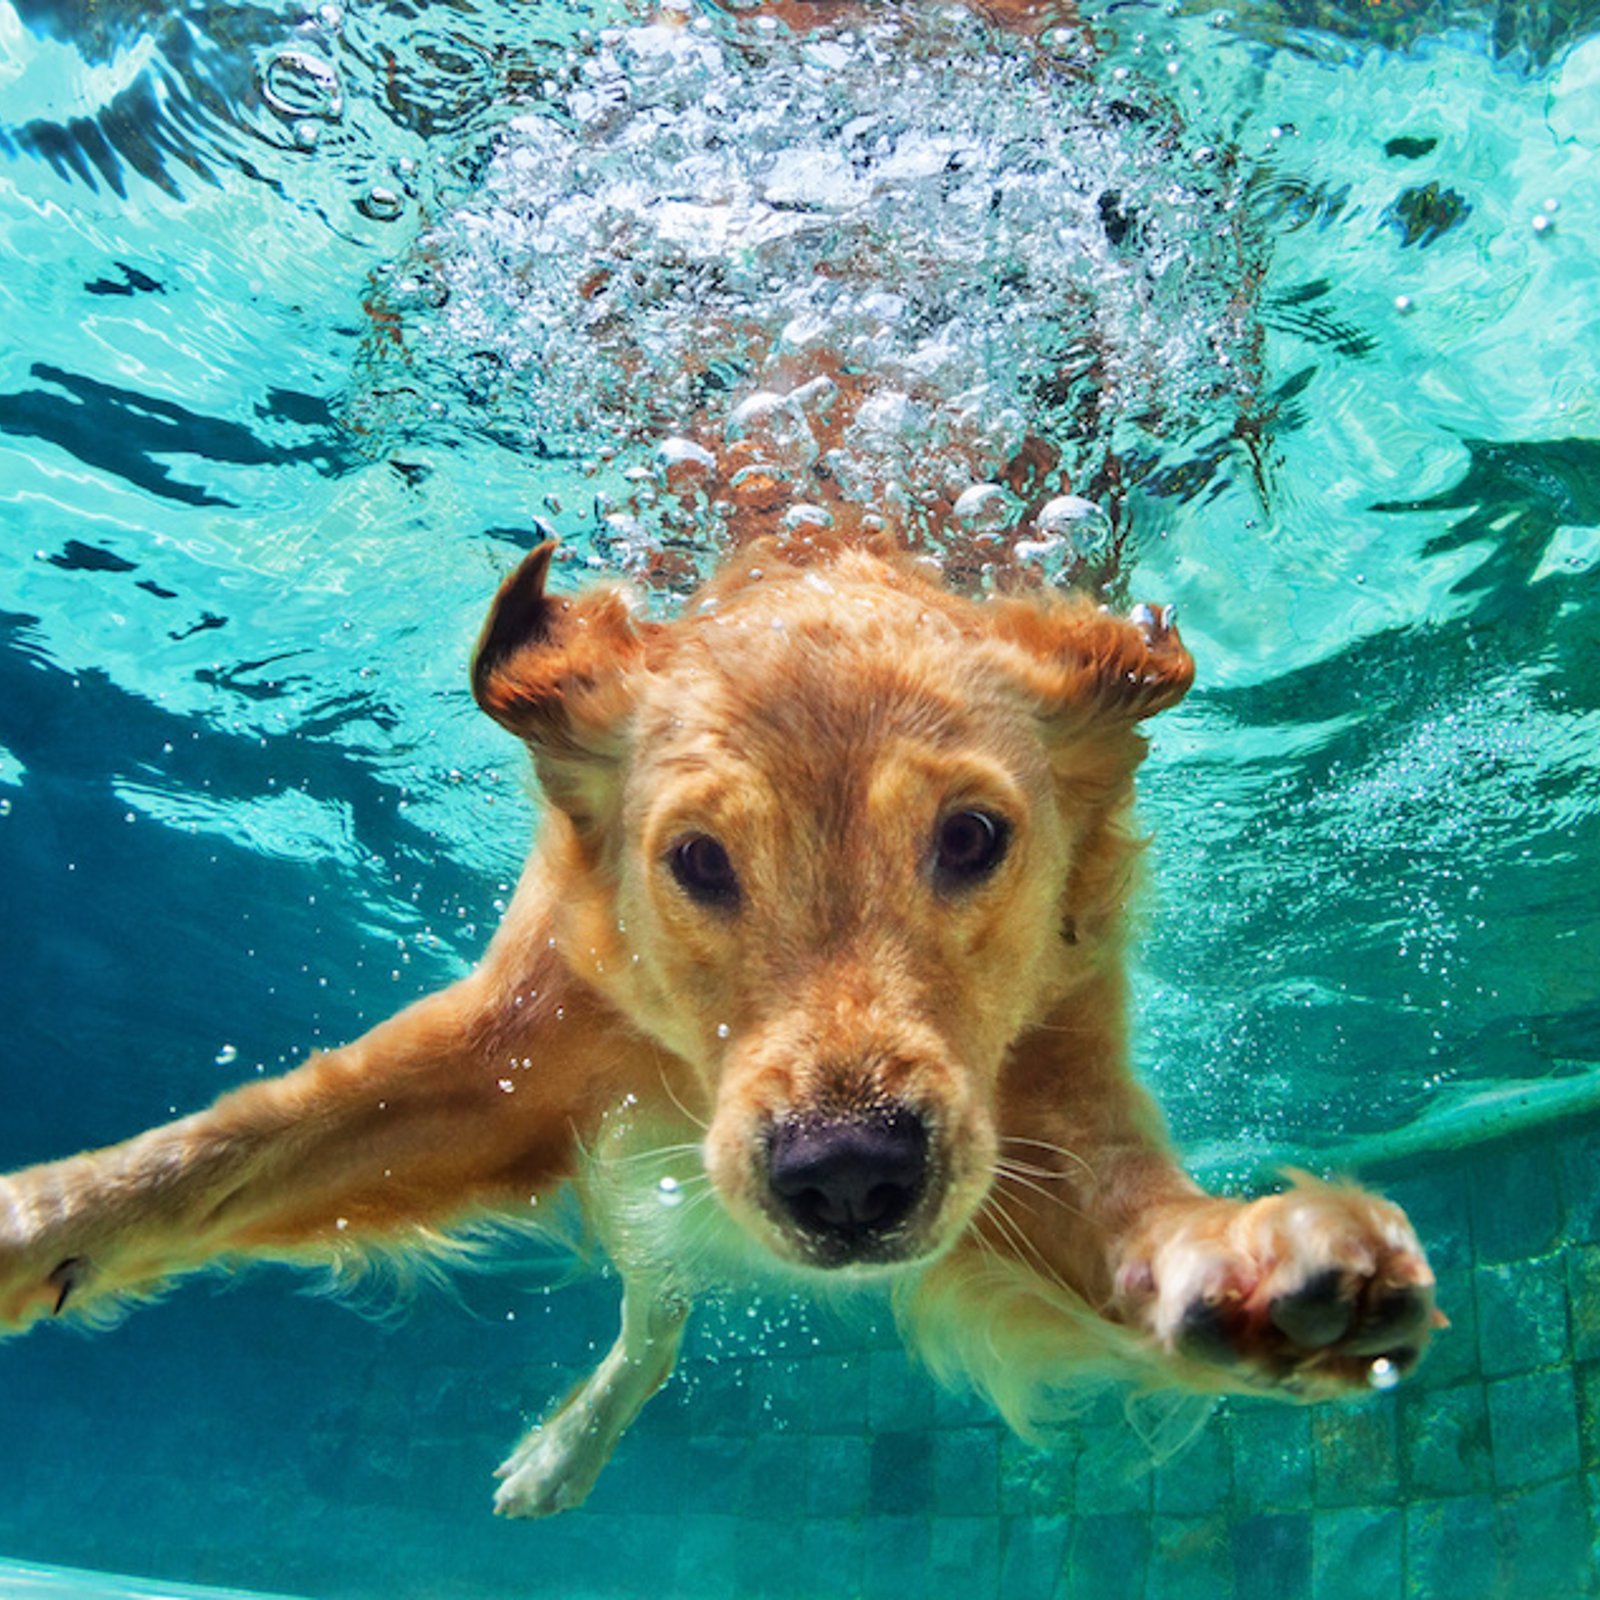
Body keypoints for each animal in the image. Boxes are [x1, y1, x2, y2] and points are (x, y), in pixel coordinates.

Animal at [0, 0, 1440, 1523]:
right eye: (696, 859)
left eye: (973, 839)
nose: (850, 1179)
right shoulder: (516, 1045)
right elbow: (218, 1150)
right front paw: (42, 1222)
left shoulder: (1043, 1090)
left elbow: (1131, 1218)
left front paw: (1258, 1270)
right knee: (653, 1307)